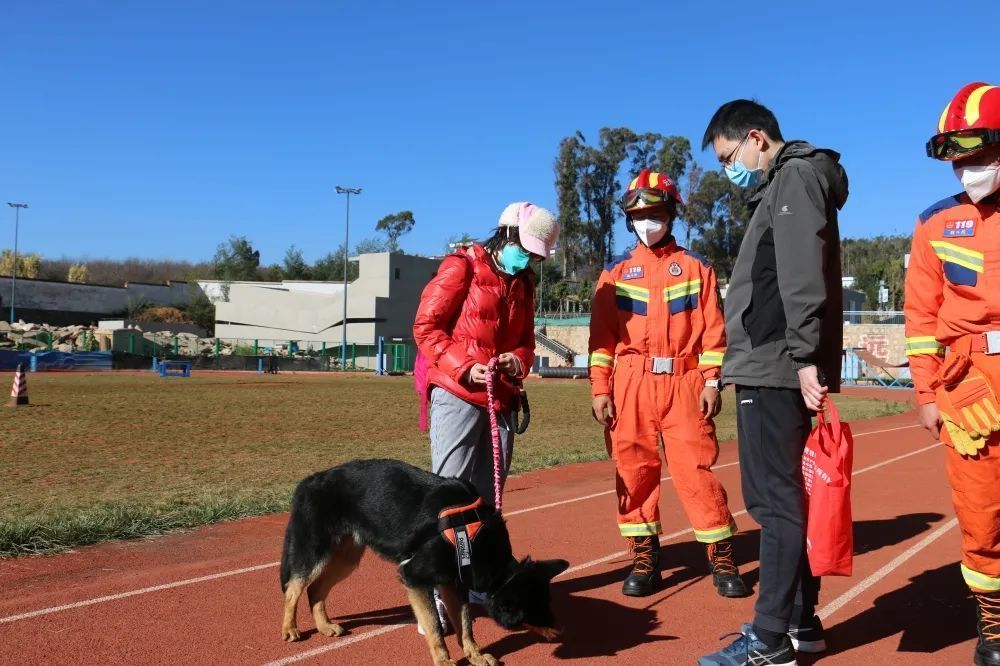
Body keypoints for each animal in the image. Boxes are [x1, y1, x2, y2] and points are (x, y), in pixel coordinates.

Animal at [282, 460, 568, 660]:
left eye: (546, 604)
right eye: (536, 609)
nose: (555, 626)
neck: (474, 537)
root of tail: (310, 480)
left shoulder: (454, 582)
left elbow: (465, 625)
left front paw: (474, 655)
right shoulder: (415, 577)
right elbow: (434, 627)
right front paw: (444, 661)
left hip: (346, 559)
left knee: (315, 589)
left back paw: (324, 626)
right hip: (314, 552)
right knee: (294, 588)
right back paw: (290, 628)